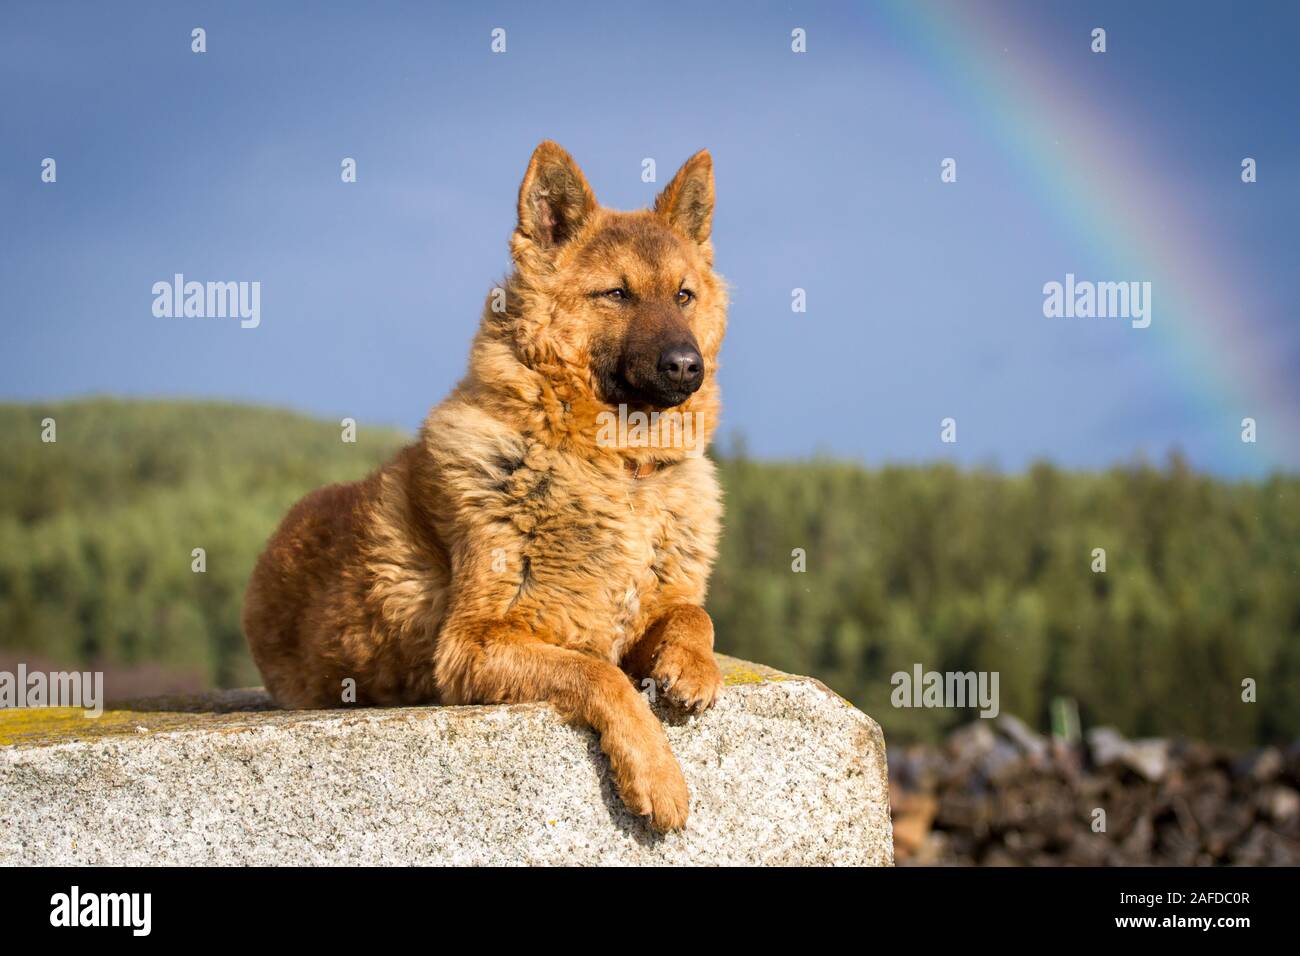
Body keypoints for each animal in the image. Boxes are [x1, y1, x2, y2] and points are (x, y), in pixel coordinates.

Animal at [244, 141, 728, 832]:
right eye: (616, 293)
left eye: (684, 295)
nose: (688, 367)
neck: (615, 471)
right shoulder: (473, 647)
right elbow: (597, 675)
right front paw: (656, 772)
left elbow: (693, 612)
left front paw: (690, 664)